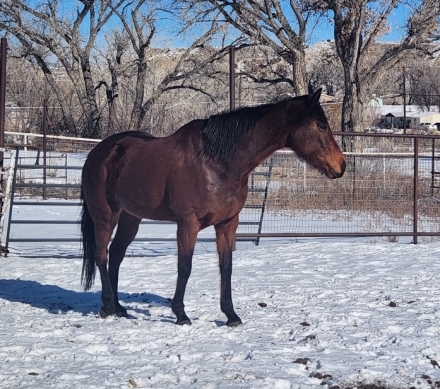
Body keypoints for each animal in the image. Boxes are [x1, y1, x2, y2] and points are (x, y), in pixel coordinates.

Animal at [81, 88, 346, 324]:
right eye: (322, 125)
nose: (341, 165)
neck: (217, 161)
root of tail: (100, 152)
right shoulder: (188, 223)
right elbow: (185, 266)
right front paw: (181, 314)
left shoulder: (228, 223)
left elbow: (226, 266)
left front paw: (231, 315)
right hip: (105, 215)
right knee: (101, 253)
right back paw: (108, 306)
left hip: (130, 217)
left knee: (116, 254)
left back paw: (118, 307)